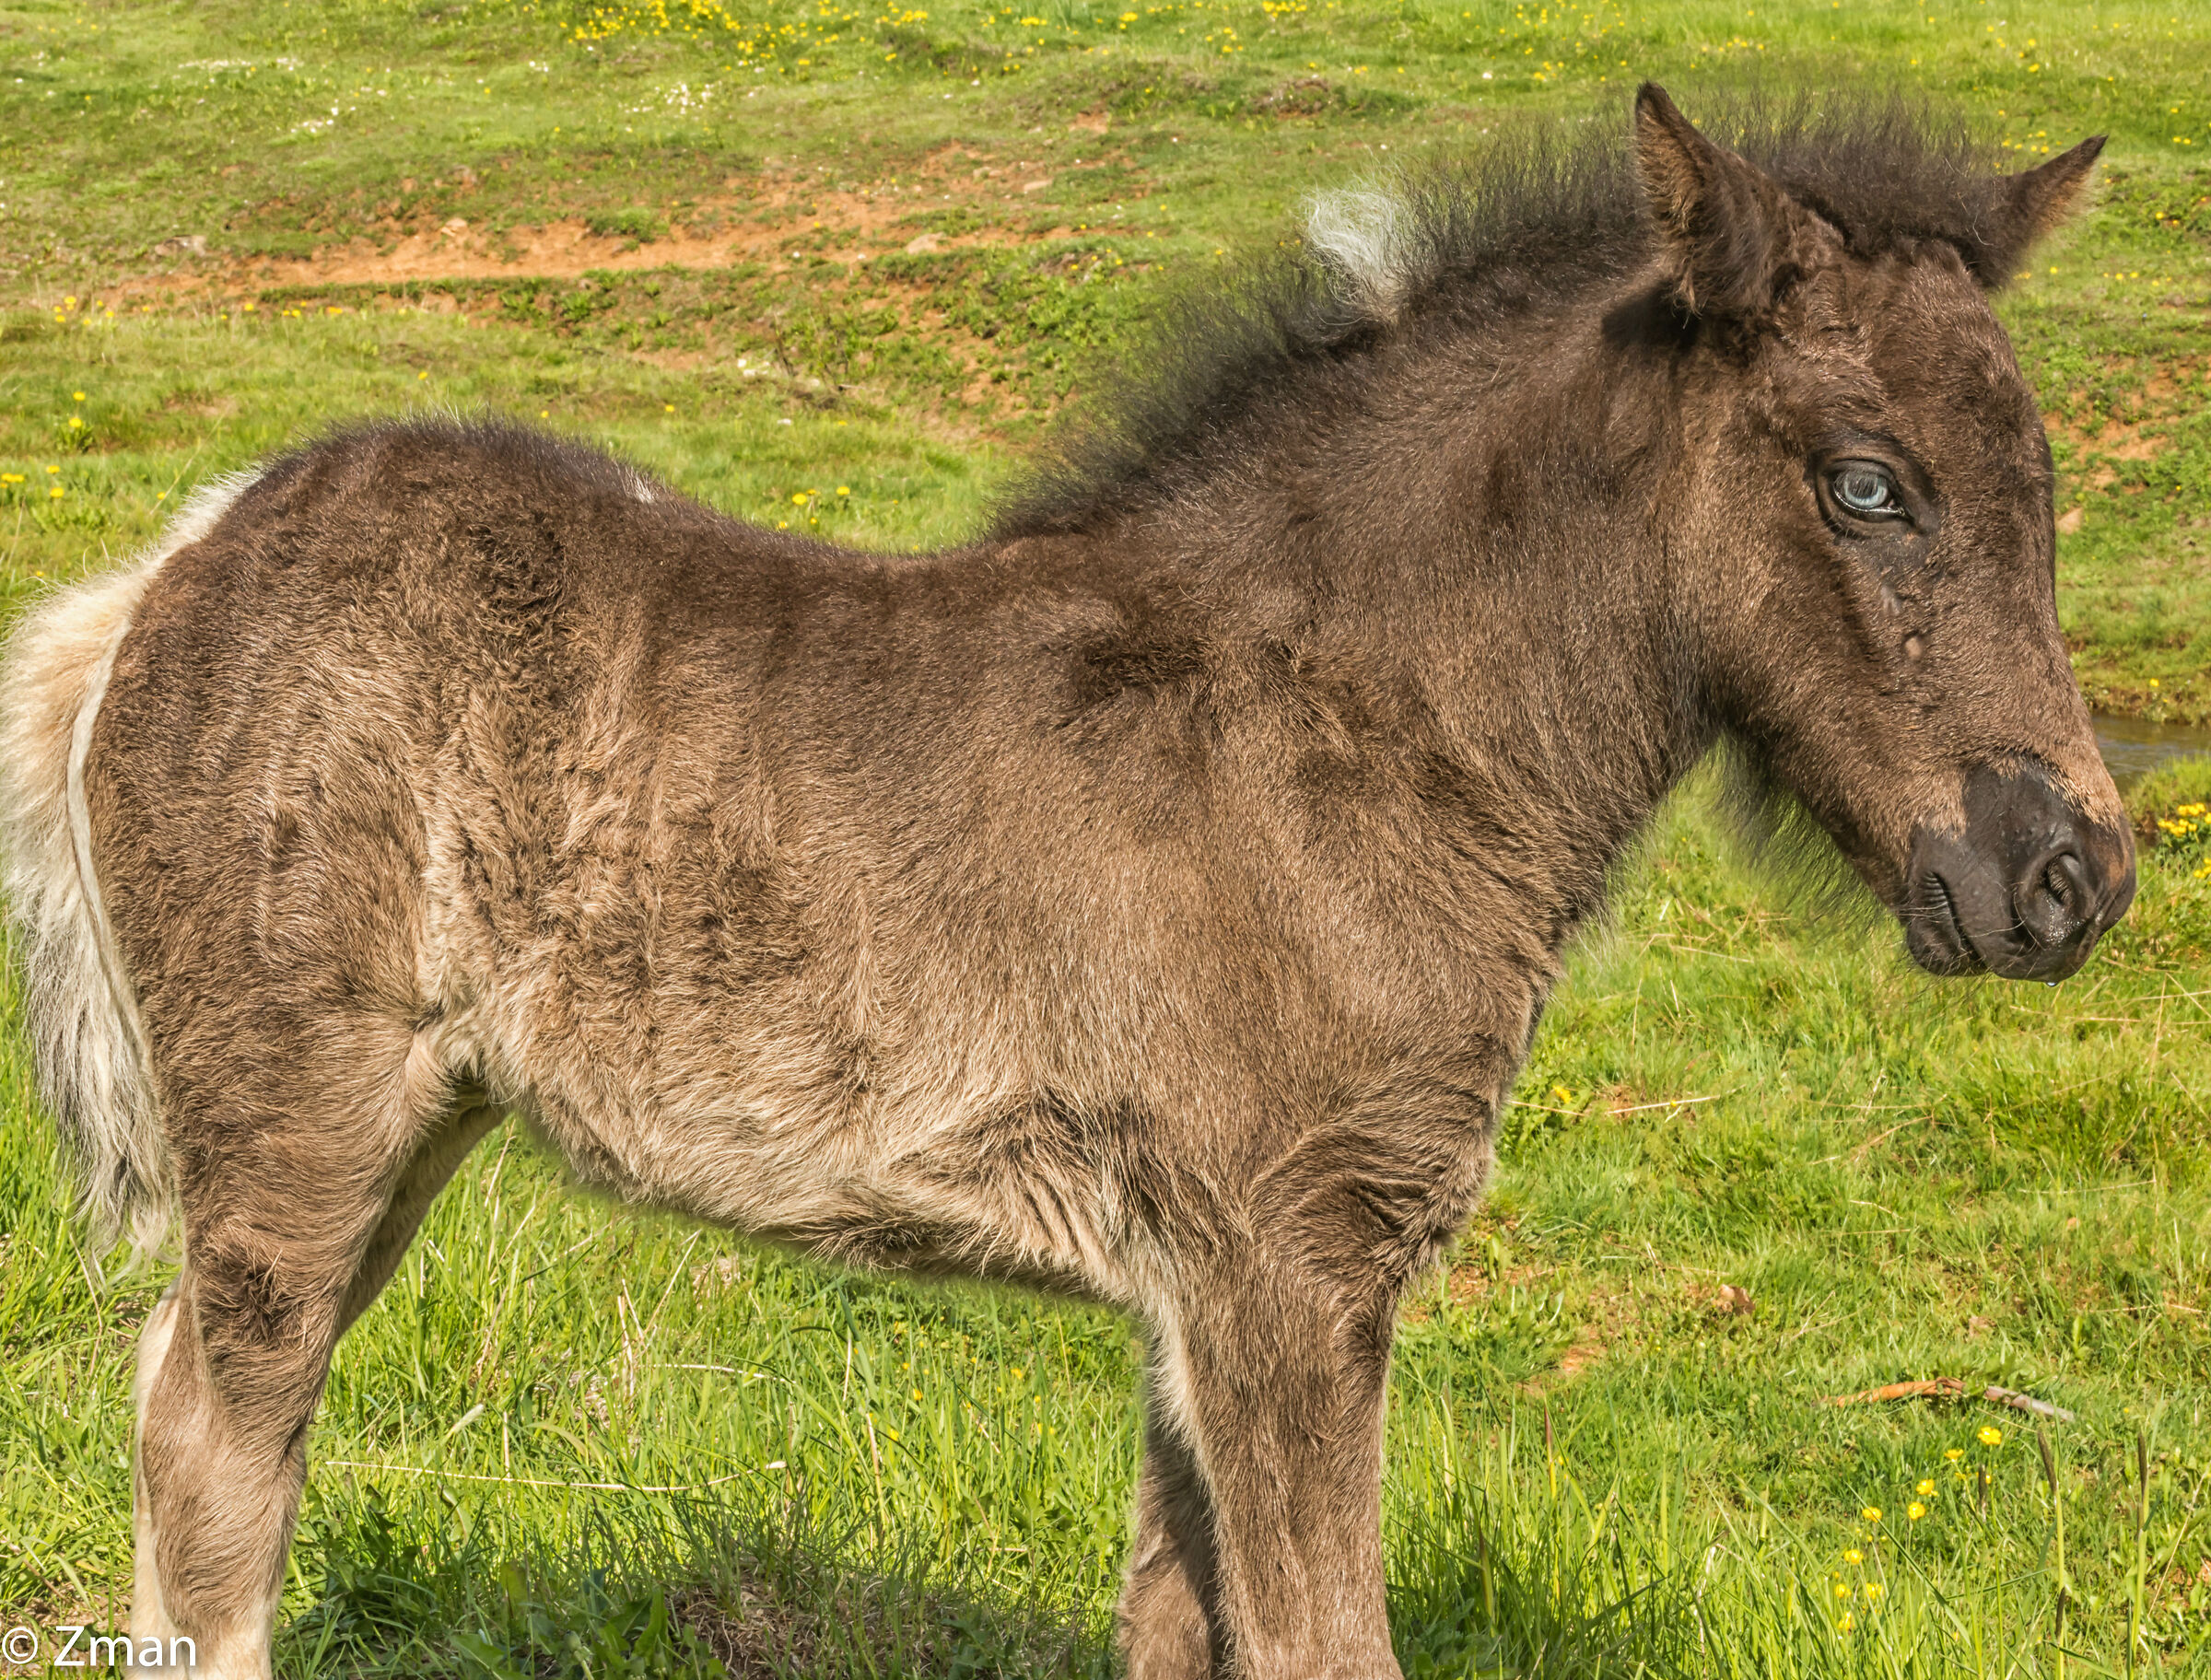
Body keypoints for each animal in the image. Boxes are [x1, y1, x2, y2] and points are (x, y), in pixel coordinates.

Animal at [0, 85, 2134, 1678]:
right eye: (1866, 482)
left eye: (2045, 483)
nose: (2069, 875)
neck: (1357, 730)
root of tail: (168, 566)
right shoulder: (1293, 1278)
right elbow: (1325, 1640)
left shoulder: (1210, 1299)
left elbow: (1179, 1626)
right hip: (297, 1135)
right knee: (217, 1468)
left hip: (406, 1133)